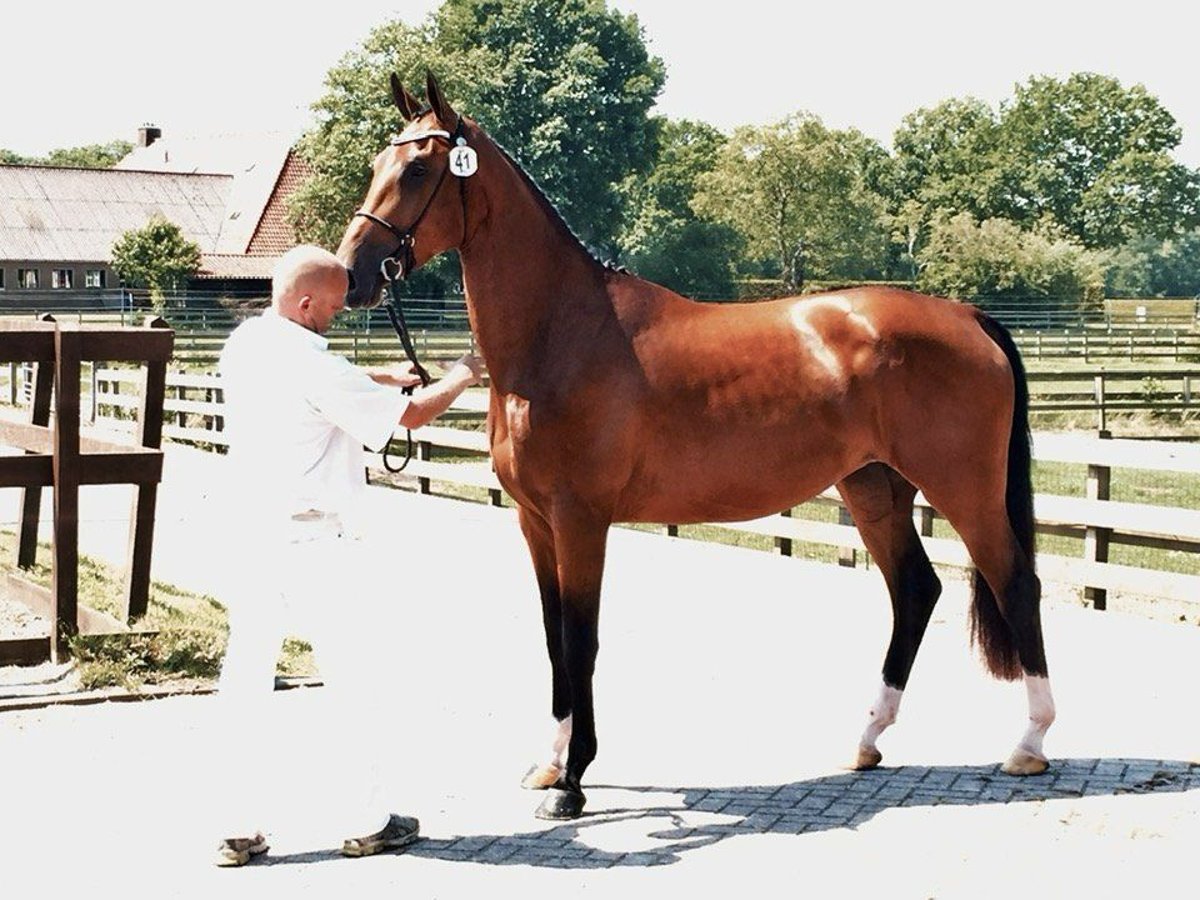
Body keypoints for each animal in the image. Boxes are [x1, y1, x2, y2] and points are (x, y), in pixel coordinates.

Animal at [336, 74, 1051, 820]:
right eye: (378, 163)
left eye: (418, 170)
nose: (353, 273)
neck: (563, 333)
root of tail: (967, 315)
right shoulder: (534, 521)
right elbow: (553, 636)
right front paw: (550, 763)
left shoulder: (580, 519)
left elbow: (581, 638)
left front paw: (572, 781)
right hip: (874, 488)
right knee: (914, 590)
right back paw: (866, 741)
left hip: (962, 489)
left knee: (1015, 583)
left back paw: (1028, 745)